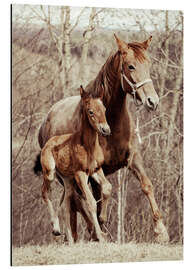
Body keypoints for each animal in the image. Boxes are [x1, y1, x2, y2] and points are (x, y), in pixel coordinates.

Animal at [40, 86, 111, 243]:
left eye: (104, 108)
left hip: (67, 180)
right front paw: (100, 236)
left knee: (66, 203)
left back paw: (70, 239)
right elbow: (91, 202)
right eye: (90, 111)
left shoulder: (96, 170)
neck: (88, 146)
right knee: (45, 192)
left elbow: (107, 188)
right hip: (50, 173)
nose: (106, 129)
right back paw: (56, 228)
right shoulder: (80, 174)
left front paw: (103, 219)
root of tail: (47, 143)